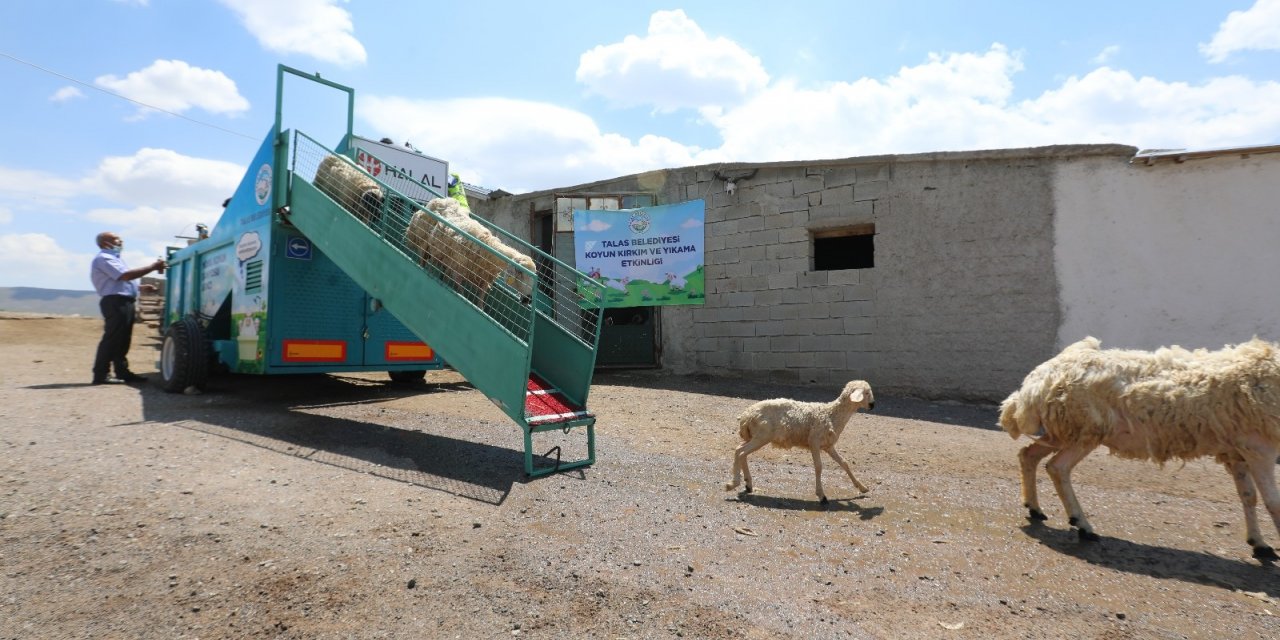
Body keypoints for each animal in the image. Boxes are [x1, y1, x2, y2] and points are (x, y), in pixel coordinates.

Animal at [727, 378, 875, 504]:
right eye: (866, 392)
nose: (873, 405)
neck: (832, 414)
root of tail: (746, 416)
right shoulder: (814, 442)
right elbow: (819, 466)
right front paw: (821, 495)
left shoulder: (828, 445)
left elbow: (844, 463)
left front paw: (862, 487)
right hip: (761, 436)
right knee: (742, 452)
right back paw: (734, 483)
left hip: (755, 436)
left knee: (739, 450)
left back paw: (747, 484)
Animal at [998, 335, 1280, 560]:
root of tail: (1036, 380)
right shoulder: (1259, 449)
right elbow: (1273, 502)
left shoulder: (1237, 453)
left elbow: (1249, 497)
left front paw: (1258, 543)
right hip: (1084, 430)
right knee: (1058, 467)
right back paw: (1083, 525)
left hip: (1061, 431)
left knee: (1028, 455)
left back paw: (1035, 508)